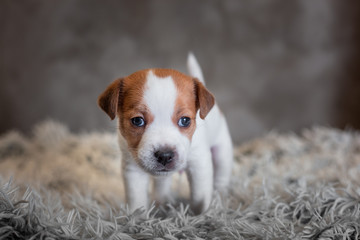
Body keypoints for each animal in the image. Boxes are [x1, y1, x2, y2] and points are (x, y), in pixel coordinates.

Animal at [98, 54, 233, 214]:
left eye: (185, 120)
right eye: (137, 120)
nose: (165, 155)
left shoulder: (199, 164)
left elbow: (200, 195)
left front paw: (202, 213)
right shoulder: (132, 168)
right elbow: (136, 198)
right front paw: (136, 217)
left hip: (222, 152)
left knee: (221, 177)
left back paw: (220, 199)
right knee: (162, 186)